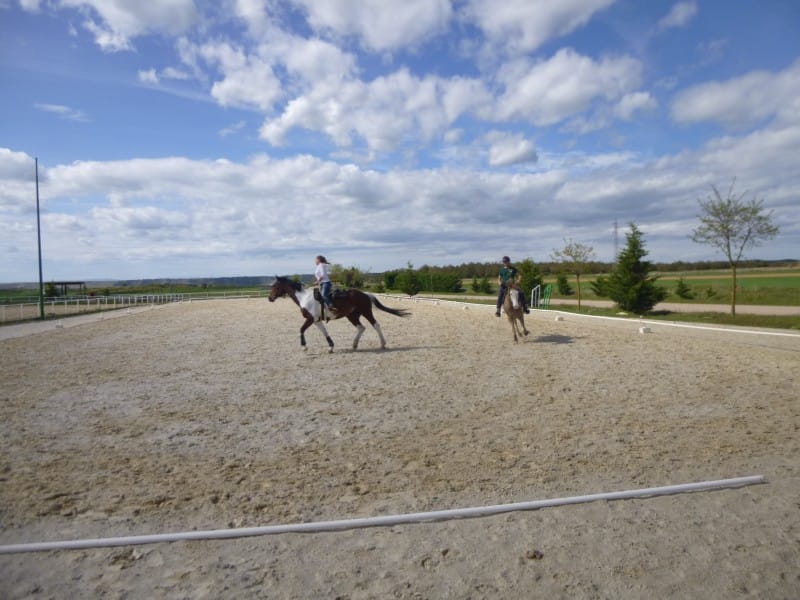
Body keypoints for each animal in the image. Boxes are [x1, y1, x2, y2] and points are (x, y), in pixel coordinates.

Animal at [268, 276, 410, 352]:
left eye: (275, 286)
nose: (270, 298)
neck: (304, 297)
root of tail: (365, 294)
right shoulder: (317, 320)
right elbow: (324, 332)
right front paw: (330, 347)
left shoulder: (311, 319)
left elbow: (301, 329)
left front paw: (304, 347)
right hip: (352, 316)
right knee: (361, 327)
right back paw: (354, 344)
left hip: (366, 312)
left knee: (376, 325)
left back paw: (382, 344)